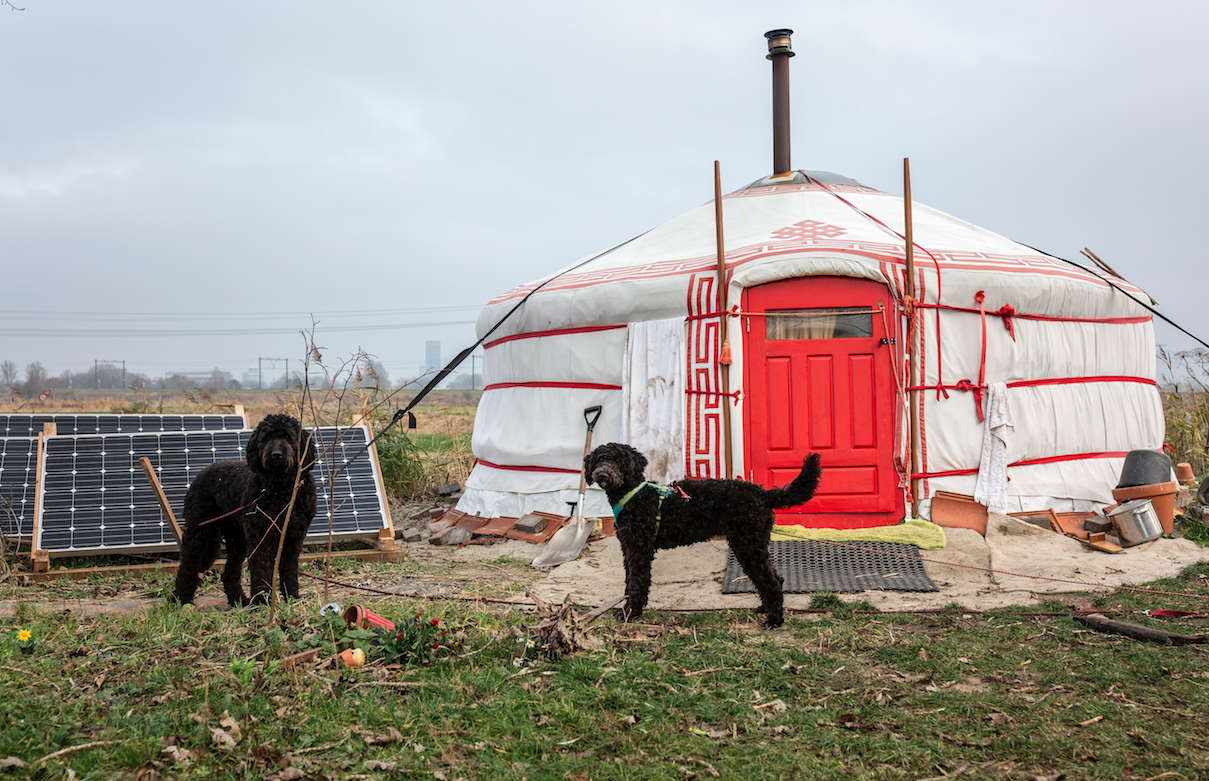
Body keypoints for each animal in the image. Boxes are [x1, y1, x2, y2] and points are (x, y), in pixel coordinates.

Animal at [174, 413, 321, 609]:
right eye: (265, 438)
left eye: (288, 437)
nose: (276, 455)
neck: (280, 490)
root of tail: (201, 473)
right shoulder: (261, 538)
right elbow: (261, 569)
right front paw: (262, 601)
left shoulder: (293, 538)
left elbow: (289, 570)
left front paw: (292, 597)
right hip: (199, 530)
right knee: (187, 566)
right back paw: (180, 599)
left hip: (237, 538)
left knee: (228, 573)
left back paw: (239, 600)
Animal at [582, 440, 822, 628]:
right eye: (599, 459)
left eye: (619, 461)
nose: (602, 474)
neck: (635, 495)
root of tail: (763, 493)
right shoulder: (628, 548)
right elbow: (629, 580)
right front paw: (627, 608)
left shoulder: (640, 549)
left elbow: (637, 582)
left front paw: (631, 612)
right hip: (755, 543)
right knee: (776, 578)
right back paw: (765, 609)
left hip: (748, 544)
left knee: (770, 581)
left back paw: (774, 621)